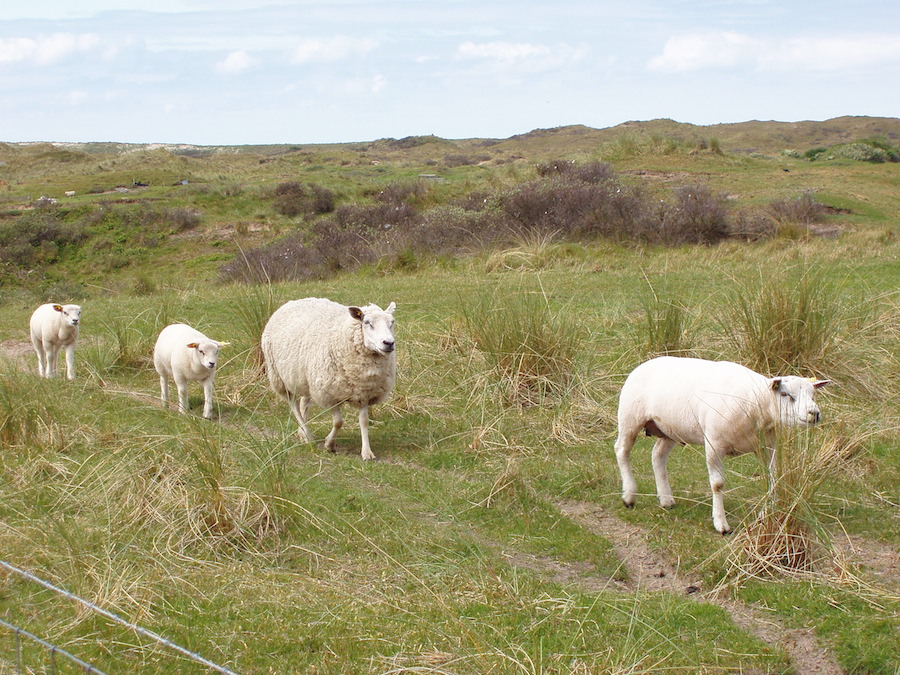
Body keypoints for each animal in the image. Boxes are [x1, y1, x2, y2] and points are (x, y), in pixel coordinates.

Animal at [262, 298, 400, 462]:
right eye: (367, 322)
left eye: (392, 322)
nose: (388, 343)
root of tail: (293, 301)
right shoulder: (329, 392)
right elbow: (338, 422)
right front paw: (329, 444)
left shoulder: (364, 392)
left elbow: (364, 421)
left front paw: (367, 452)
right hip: (280, 377)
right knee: (294, 406)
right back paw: (307, 435)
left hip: (306, 378)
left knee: (304, 403)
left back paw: (302, 433)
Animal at [612, 356, 828, 536]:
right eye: (785, 394)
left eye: (813, 395)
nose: (814, 414)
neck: (756, 402)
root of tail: (646, 362)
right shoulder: (714, 445)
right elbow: (718, 484)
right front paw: (721, 524)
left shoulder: (768, 446)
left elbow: (776, 479)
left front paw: (766, 515)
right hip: (630, 417)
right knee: (622, 450)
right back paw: (629, 495)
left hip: (670, 429)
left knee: (657, 455)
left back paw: (666, 499)